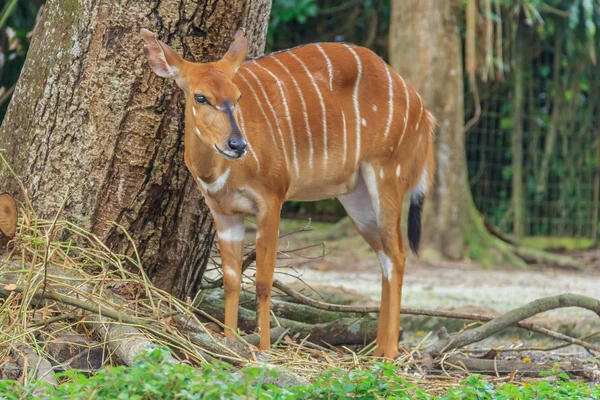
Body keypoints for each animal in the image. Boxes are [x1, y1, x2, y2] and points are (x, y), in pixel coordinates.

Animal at [141, 28, 434, 360]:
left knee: (398, 252)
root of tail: (423, 111)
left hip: (387, 174)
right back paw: (377, 350)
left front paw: (265, 349)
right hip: (356, 196)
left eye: (238, 96)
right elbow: (231, 280)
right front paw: (229, 342)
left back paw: (389, 353)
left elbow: (263, 281)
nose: (237, 145)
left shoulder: (271, 199)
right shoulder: (224, 212)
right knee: (384, 253)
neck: (218, 173)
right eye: (200, 96)